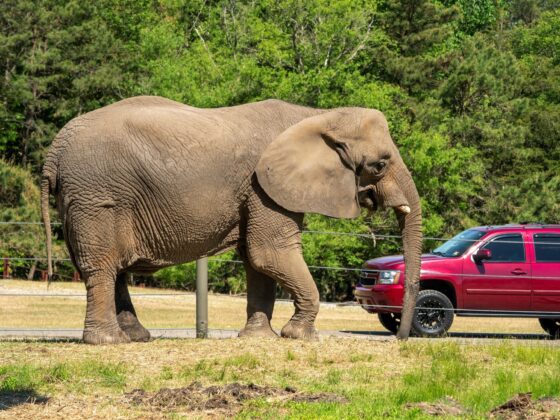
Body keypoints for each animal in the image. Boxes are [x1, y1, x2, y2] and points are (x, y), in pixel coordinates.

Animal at [40, 97, 420, 346]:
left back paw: (136, 337)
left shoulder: (257, 191)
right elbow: (270, 253)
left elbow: (256, 261)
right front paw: (299, 337)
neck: (316, 117)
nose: (400, 339)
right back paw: (109, 342)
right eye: (380, 165)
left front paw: (259, 339)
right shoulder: (263, 186)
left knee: (112, 269)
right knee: (103, 267)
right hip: (96, 197)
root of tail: (54, 150)